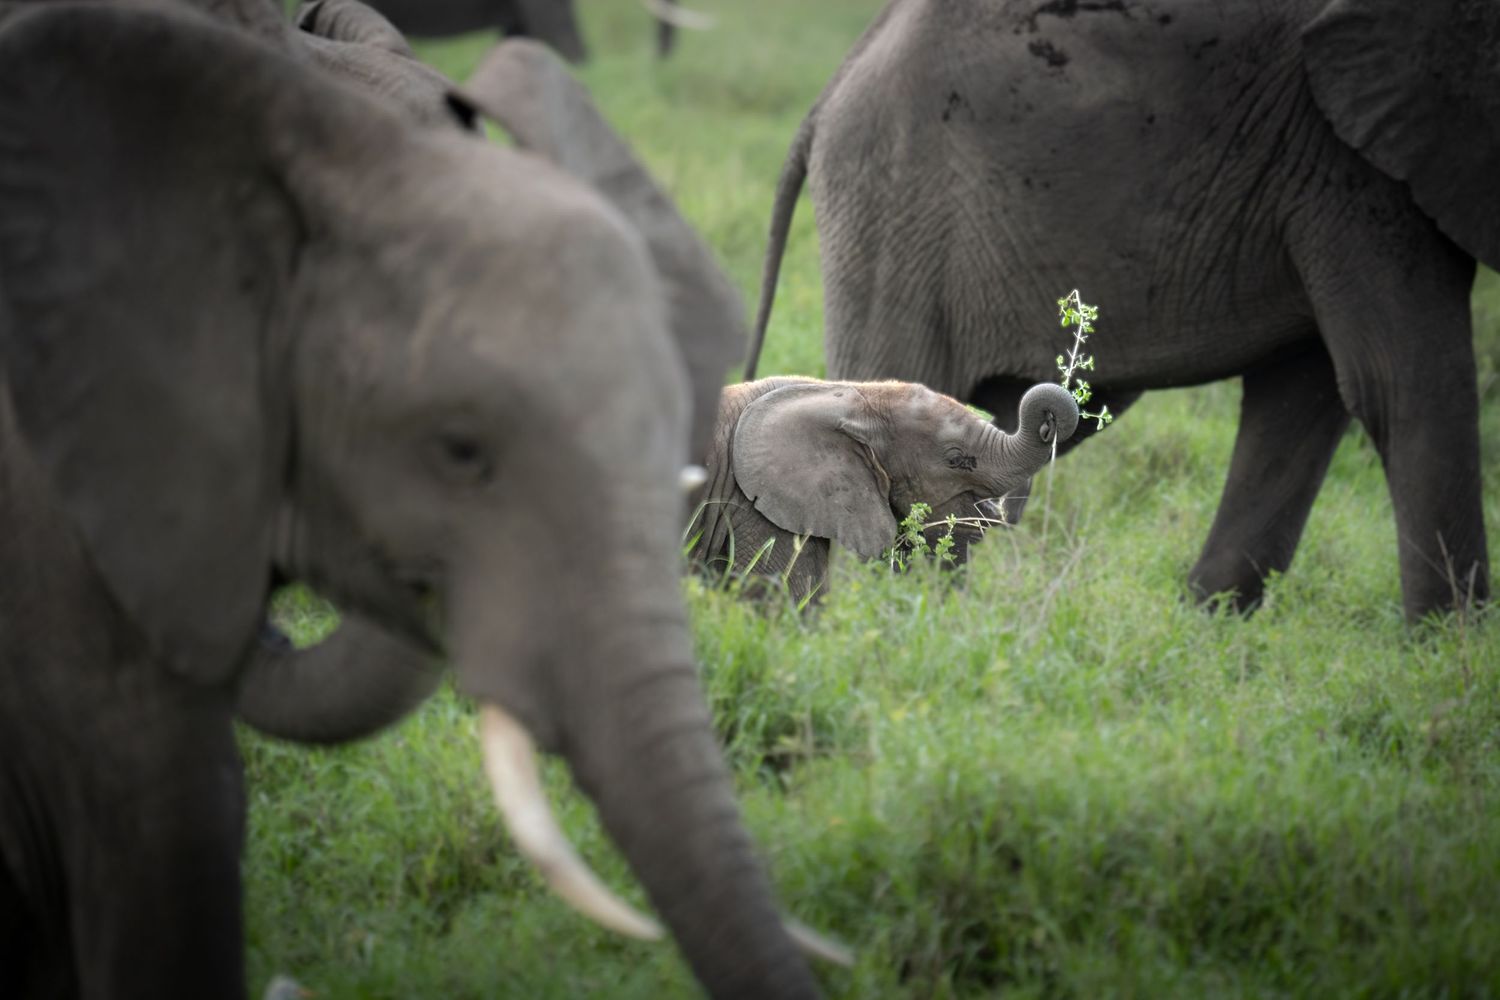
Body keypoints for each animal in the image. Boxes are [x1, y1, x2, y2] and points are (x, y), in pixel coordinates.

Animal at [746, 0, 1499, 622]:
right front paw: (1450, 650)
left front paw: (1209, 627)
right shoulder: (1351, 167)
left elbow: (1305, 398)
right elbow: (1404, 386)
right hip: (898, 206)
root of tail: (831, 90)